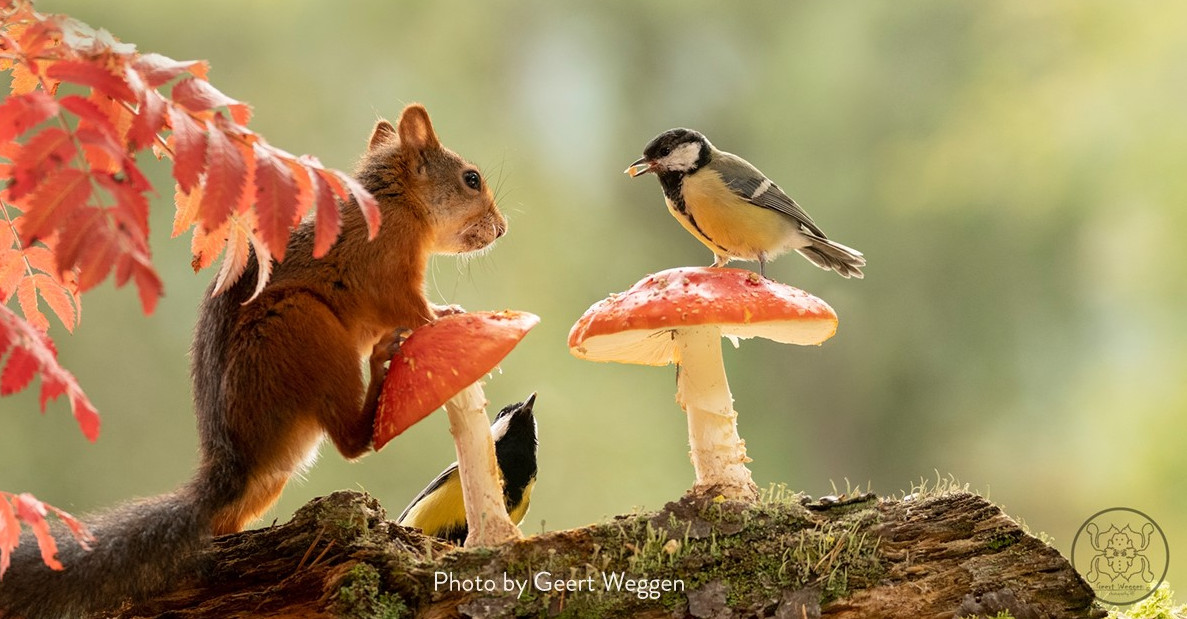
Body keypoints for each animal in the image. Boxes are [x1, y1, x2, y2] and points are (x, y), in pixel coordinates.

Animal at [0, 103, 506, 619]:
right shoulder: (385, 268)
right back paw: (381, 368)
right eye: (471, 179)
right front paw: (447, 315)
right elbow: (412, 307)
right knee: (353, 442)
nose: (501, 227)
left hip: (269, 480)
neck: (398, 204)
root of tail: (236, 459)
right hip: (301, 326)